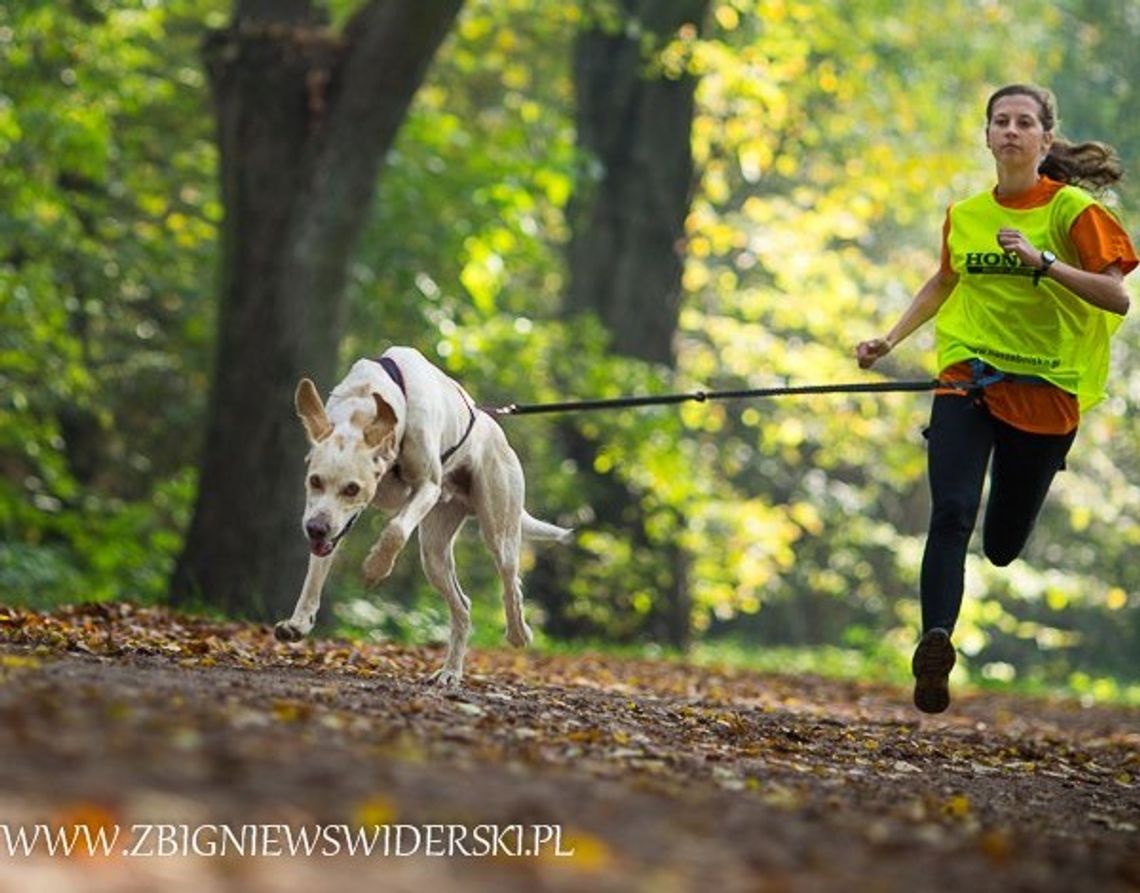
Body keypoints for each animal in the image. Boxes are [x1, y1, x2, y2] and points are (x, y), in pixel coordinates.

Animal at [267, 346, 570, 688]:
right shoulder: (332, 524)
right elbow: (316, 572)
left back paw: (518, 632)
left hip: (499, 531)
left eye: (352, 488)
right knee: (462, 608)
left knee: (510, 584)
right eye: (314, 481)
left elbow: (396, 530)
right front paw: (299, 622)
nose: (315, 530)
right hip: (434, 554)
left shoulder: (428, 486)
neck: (367, 399)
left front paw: (375, 568)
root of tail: (494, 428)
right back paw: (451, 671)